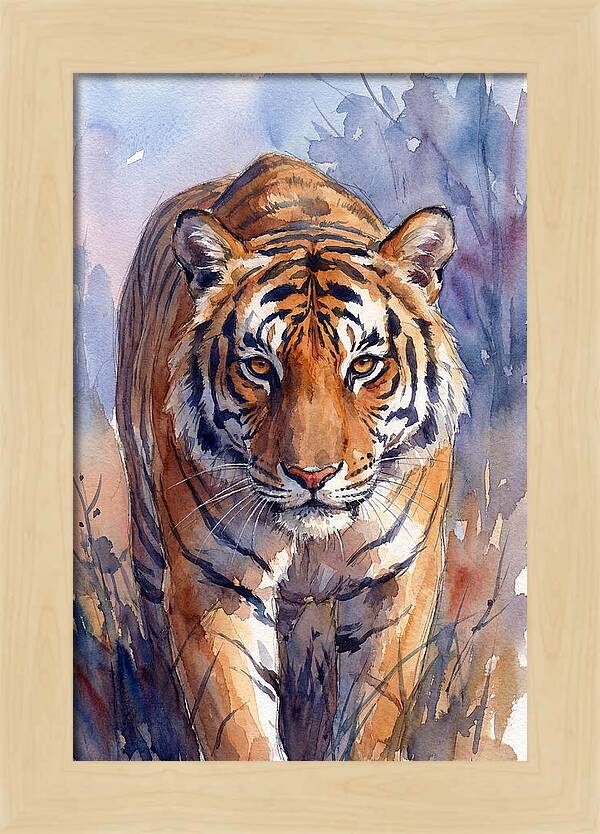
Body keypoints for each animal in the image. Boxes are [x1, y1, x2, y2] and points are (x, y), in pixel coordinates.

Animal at [116, 152, 466, 761]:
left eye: (364, 365)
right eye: (260, 367)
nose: (311, 475)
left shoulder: (400, 580)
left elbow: (372, 718)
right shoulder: (214, 583)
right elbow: (240, 730)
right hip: (147, 534)